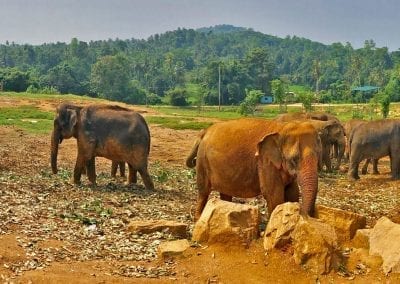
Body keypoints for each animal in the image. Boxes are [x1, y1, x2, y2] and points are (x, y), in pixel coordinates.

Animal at [186, 118, 320, 221]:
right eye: (294, 159)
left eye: (318, 156)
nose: (308, 217)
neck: (282, 127)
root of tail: (204, 132)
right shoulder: (264, 161)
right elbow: (273, 193)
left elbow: (292, 192)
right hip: (202, 160)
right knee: (203, 190)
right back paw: (198, 218)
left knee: (225, 193)